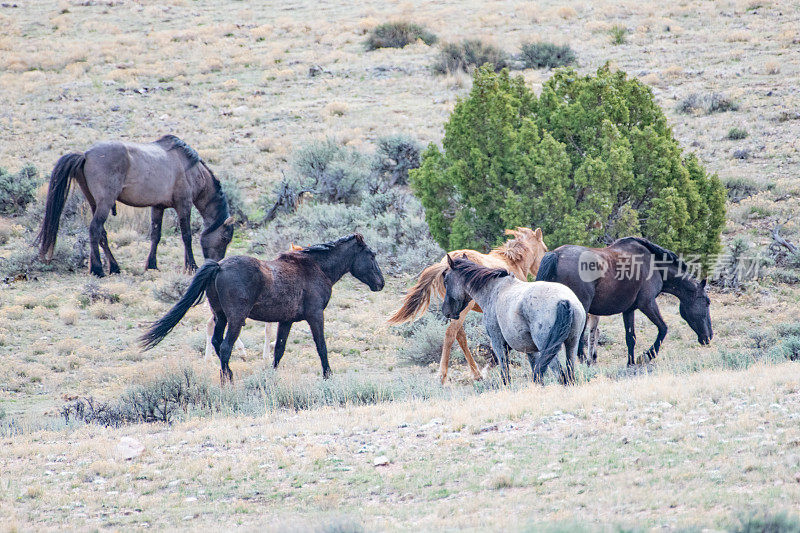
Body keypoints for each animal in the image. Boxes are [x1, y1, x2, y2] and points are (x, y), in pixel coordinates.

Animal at [36, 135, 234, 276]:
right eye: (225, 238)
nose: (217, 263)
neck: (191, 169)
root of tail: (86, 155)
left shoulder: (158, 207)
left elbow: (156, 235)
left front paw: (152, 265)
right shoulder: (183, 205)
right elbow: (186, 236)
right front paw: (191, 266)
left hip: (94, 203)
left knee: (102, 234)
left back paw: (114, 267)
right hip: (105, 203)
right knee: (95, 230)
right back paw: (98, 269)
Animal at [142, 233, 386, 382]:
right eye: (372, 255)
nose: (381, 283)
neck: (316, 268)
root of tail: (218, 267)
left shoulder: (286, 320)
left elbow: (279, 349)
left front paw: (272, 375)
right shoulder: (316, 315)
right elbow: (321, 347)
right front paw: (328, 375)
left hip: (220, 316)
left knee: (216, 342)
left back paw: (227, 375)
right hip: (236, 319)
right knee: (225, 347)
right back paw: (228, 381)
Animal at [440, 254, 584, 382]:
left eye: (446, 280)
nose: (445, 311)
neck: (494, 290)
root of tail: (565, 300)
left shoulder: (498, 343)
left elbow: (505, 374)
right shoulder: (530, 350)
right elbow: (536, 375)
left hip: (548, 349)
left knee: (561, 376)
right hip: (571, 344)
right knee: (570, 375)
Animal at [536, 237, 712, 366]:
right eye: (707, 302)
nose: (709, 336)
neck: (654, 266)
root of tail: (556, 255)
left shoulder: (629, 310)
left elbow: (631, 338)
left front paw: (631, 362)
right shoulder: (647, 304)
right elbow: (663, 329)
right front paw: (647, 356)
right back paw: (584, 362)